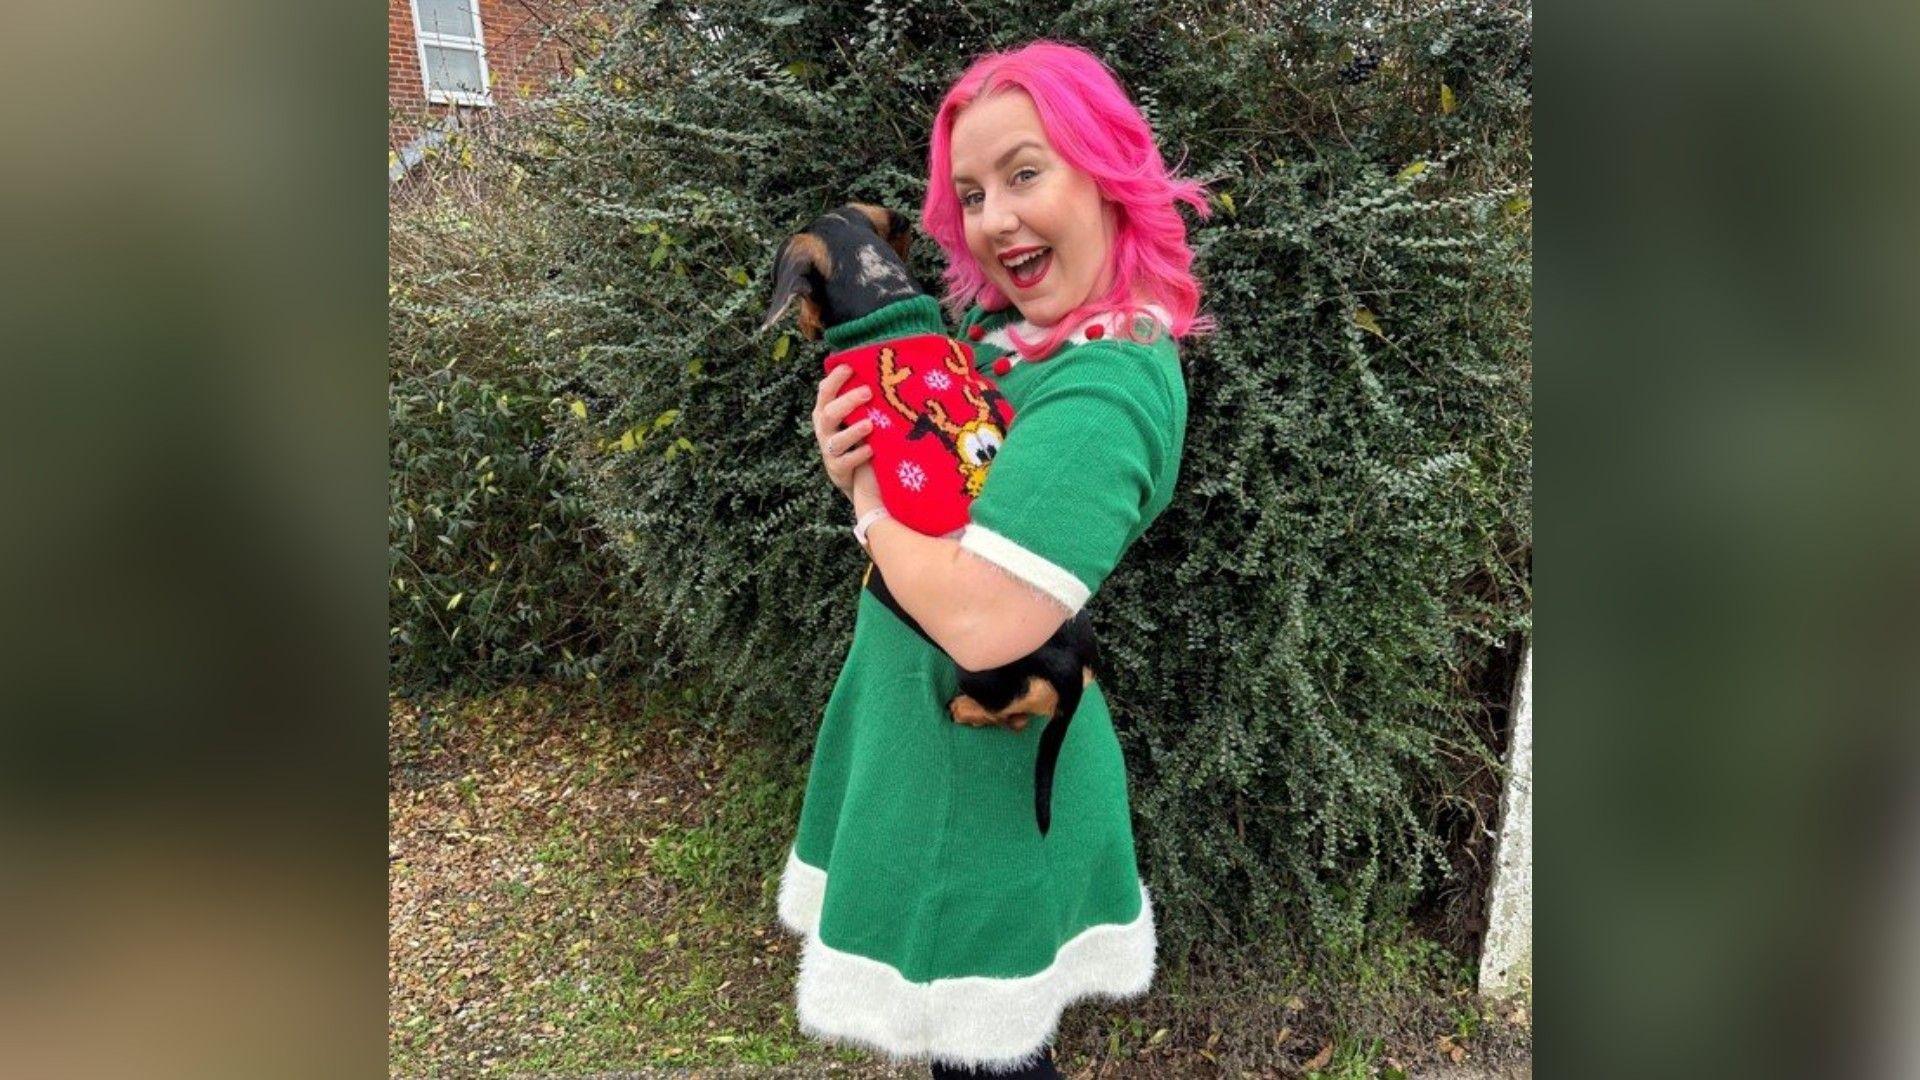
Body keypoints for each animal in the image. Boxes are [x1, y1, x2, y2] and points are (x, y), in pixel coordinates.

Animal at [760, 203, 1098, 834]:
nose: (805, 331)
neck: (883, 307)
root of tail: (1070, 668)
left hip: (980, 670)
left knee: (1009, 714)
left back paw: (961, 706)